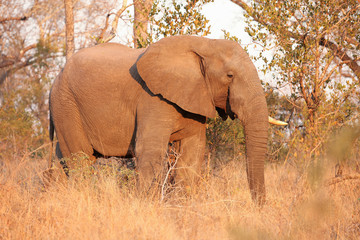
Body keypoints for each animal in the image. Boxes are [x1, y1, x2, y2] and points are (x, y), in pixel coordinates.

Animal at [48, 35, 286, 204]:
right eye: (230, 76)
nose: (260, 207)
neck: (205, 44)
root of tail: (56, 79)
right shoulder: (153, 98)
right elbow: (150, 150)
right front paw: (146, 206)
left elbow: (192, 153)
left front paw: (180, 206)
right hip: (66, 103)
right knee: (80, 159)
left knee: (63, 160)